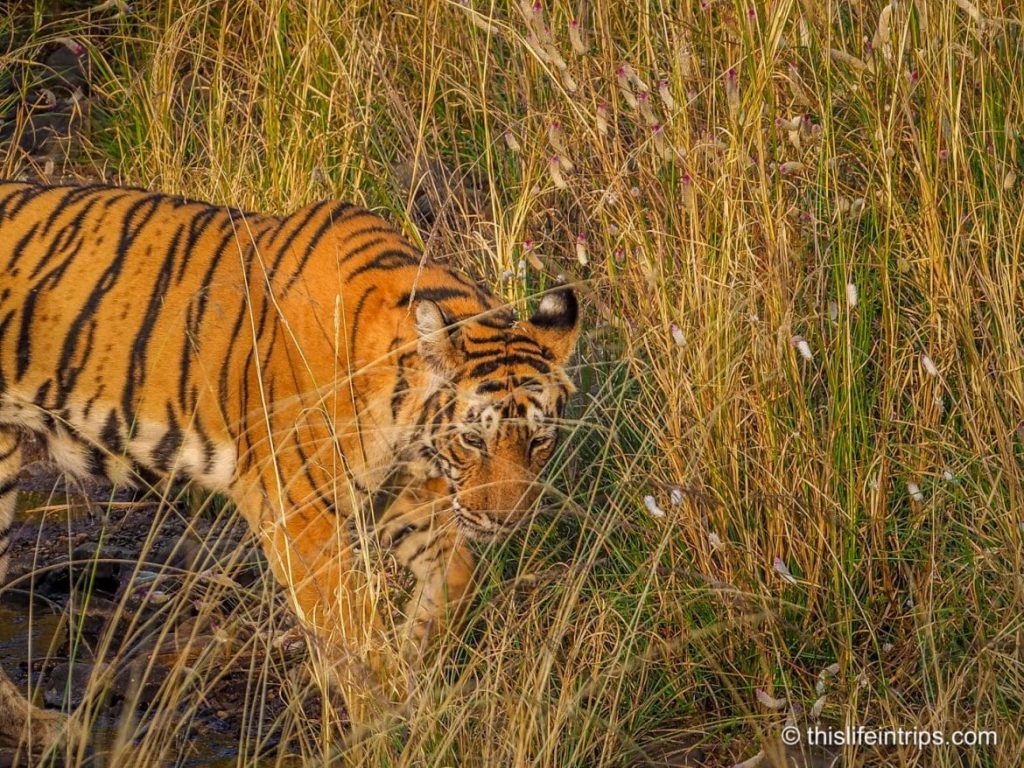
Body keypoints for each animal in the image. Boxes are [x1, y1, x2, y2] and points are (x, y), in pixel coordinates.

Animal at [0, 181, 580, 749]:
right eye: (473, 440)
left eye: (538, 442)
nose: (507, 521)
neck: (401, 413)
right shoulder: (300, 514)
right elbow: (356, 633)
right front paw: (387, 723)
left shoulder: (397, 492)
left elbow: (455, 575)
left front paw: (412, 654)